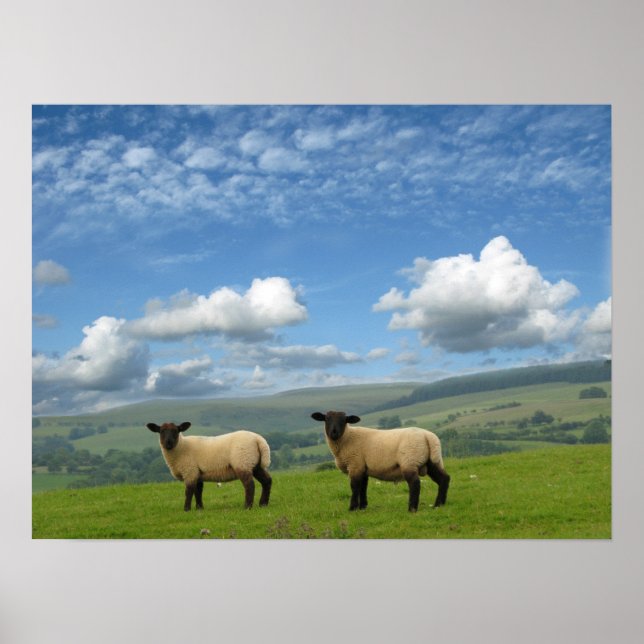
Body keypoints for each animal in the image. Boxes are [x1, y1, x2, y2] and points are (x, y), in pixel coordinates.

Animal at [311, 411, 450, 512]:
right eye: (326, 419)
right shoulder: (363, 467)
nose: (334, 432)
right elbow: (363, 487)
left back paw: (412, 508)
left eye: (344, 420)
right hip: (431, 461)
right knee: (444, 479)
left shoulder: (355, 464)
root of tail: (428, 437)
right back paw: (438, 505)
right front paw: (362, 507)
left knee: (415, 484)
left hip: (409, 461)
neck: (347, 438)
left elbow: (354, 487)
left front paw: (352, 508)